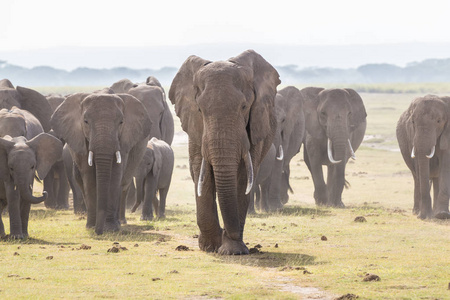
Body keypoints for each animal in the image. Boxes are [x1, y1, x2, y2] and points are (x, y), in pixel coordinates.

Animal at [51, 92, 151, 234]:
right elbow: (89, 177)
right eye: (86, 121)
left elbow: (115, 175)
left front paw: (110, 229)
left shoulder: (123, 141)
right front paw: (91, 227)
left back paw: (120, 223)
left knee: (123, 184)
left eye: (121, 122)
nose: (99, 232)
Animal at [169, 50, 280, 254]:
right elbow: (201, 172)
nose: (227, 232)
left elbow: (243, 176)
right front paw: (210, 246)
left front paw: (233, 250)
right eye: (200, 109)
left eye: (244, 107)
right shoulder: (196, 127)